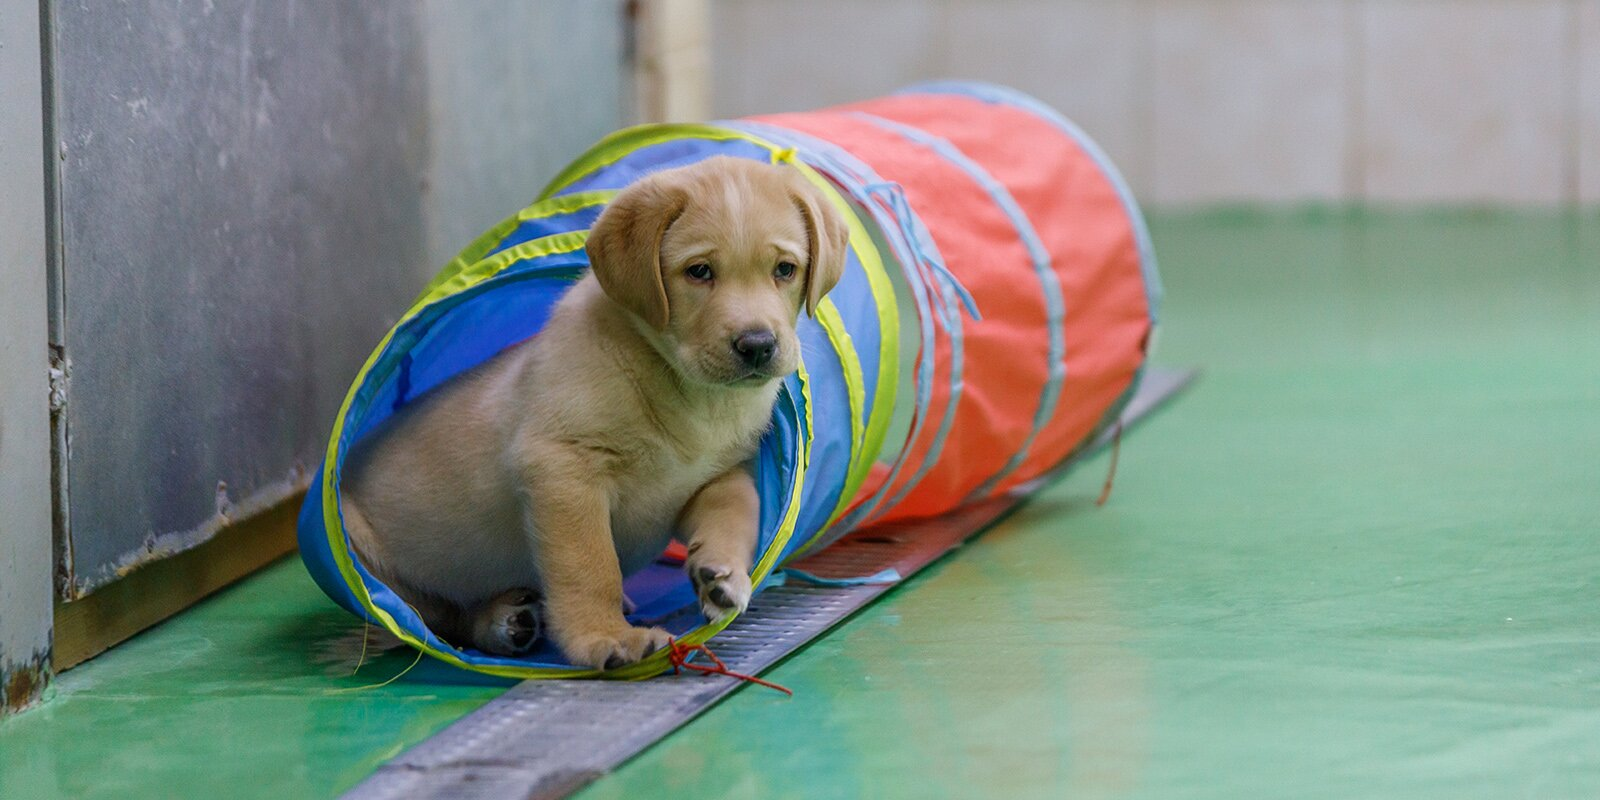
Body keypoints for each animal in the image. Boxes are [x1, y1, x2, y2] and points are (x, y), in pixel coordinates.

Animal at [339, 156, 851, 668]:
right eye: (699, 271)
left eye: (784, 269)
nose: (758, 345)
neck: (691, 395)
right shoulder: (562, 467)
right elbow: (590, 564)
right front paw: (604, 637)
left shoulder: (718, 473)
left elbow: (736, 509)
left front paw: (722, 574)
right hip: (369, 553)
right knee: (437, 616)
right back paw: (502, 622)